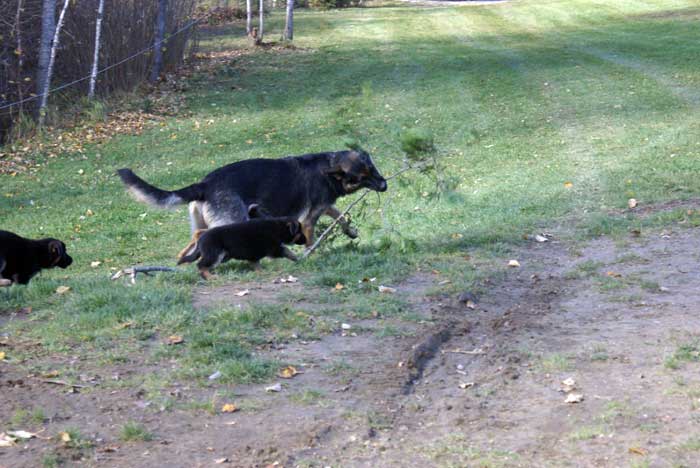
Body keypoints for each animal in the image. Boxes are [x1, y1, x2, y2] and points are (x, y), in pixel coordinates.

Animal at [116, 150, 388, 252]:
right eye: (361, 177)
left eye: (373, 169)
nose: (385, 185)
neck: (328, 168)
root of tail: (204, 184)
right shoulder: (309, 218)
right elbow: (314, 236)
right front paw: (312, 254)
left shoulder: (323, 206)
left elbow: (339, 214)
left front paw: (350, 231)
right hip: (233, 221)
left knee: (195, 238)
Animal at [176, 218, 304, 280]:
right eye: (300, 232)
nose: (306, 241)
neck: (278, 227)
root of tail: (201, 238)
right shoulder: (274, 248)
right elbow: (286, 250)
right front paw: (297, 258)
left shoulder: (255, 254)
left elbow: (256, 263)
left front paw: (260, 271)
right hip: (215, 254)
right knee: (200, 265)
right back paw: (210, 277)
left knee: (203, 265)